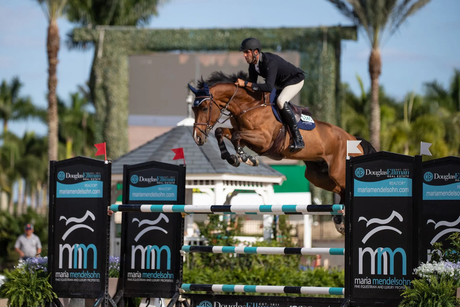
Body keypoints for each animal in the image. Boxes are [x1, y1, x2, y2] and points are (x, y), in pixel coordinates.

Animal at [188, 71, 378, 233]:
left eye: (204, 108)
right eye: (193, 109)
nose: (197, 138)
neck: (249, 105)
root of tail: (354, 139)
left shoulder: (263, 141)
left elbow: (236, 137)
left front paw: (246, 158)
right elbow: (222, 132)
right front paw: (230, 158)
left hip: (338, 171)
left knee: (347, 188)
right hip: (317, 176)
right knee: (340, 190)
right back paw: (339, 222)